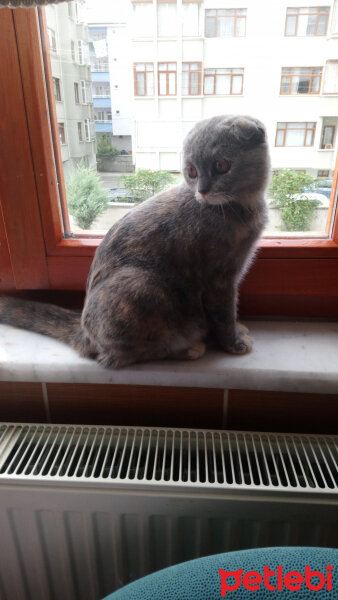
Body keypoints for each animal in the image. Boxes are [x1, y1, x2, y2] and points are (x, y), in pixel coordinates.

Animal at [0, 112, 270, 366]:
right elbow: (224, 313)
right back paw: (189, 348)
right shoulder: (219, 278)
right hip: (143, 284)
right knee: (123, 353)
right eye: (192, 171)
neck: (239, 208)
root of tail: (85, 333)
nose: (202, 190)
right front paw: (233, 342)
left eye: (222, 165)